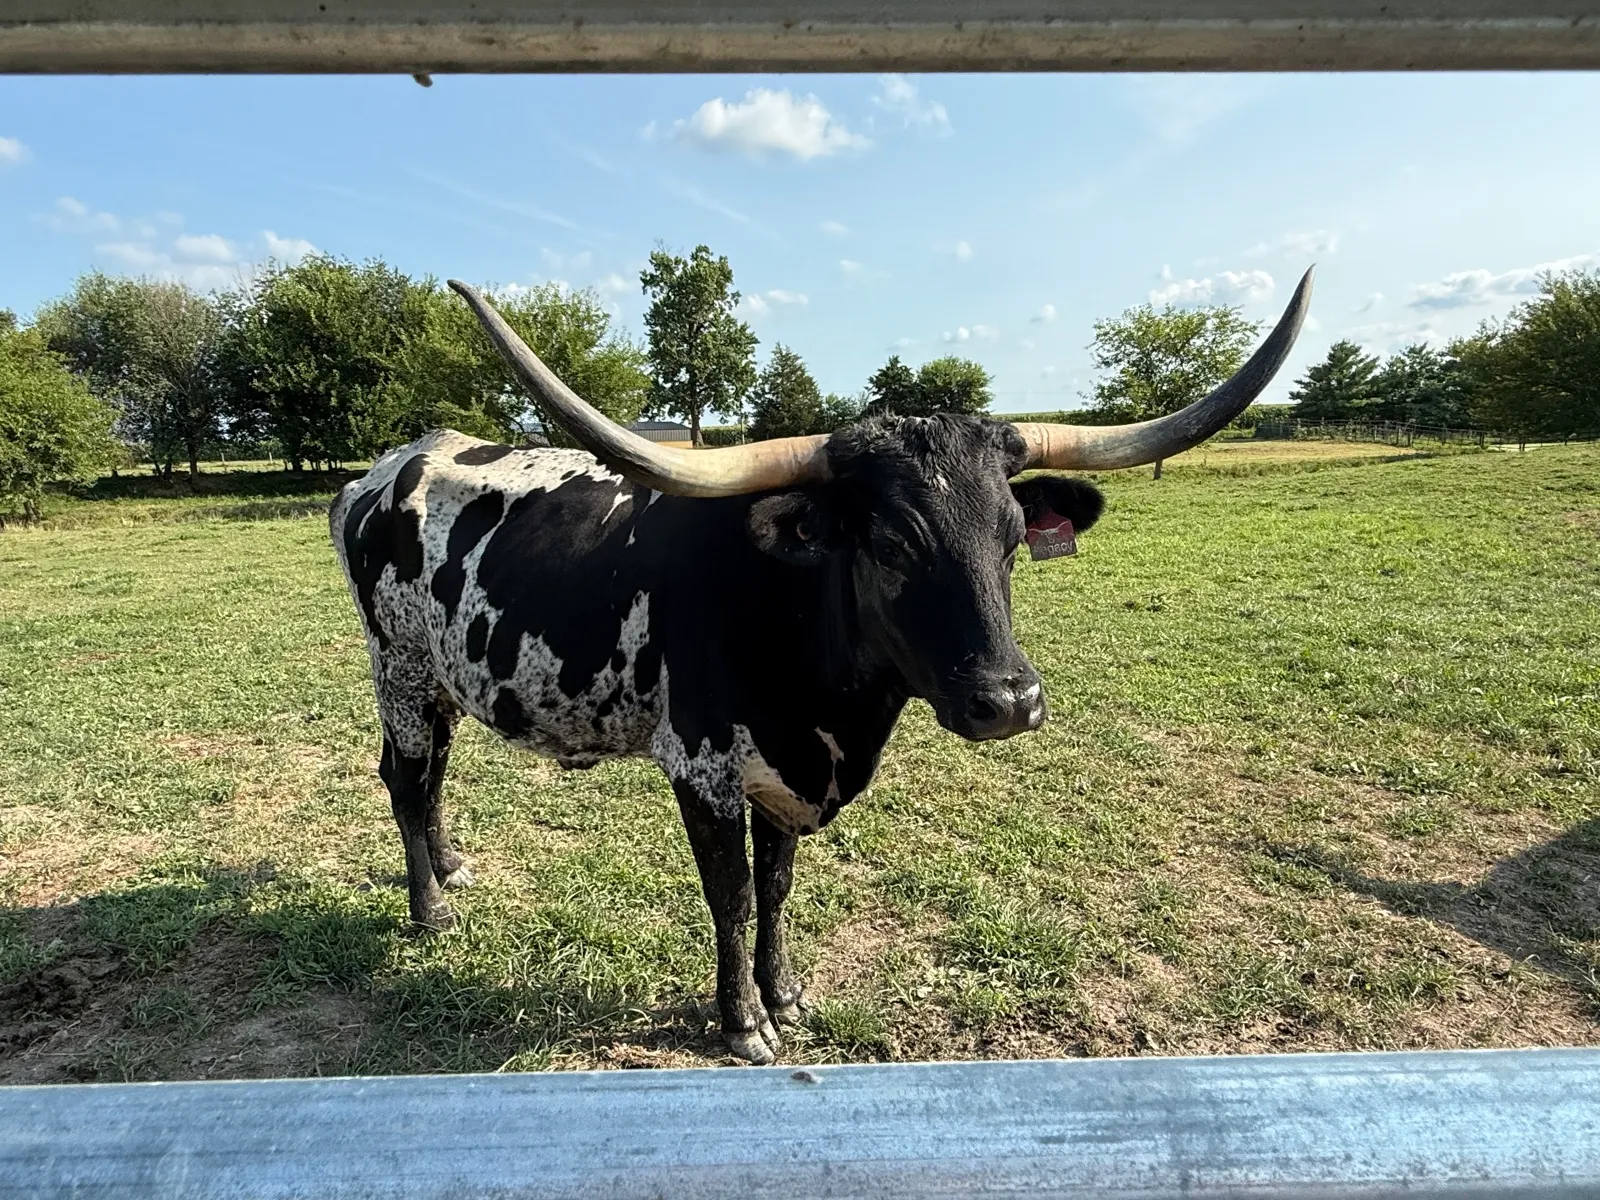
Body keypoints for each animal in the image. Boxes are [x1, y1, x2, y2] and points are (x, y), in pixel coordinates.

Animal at [330, 269, 1313, 1063]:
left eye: (1010, 540)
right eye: (890, 543)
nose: (1010, 700)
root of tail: (386, 469)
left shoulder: (785, 771)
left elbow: (777, 886)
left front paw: (787, 995)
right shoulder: (703, 766)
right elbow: (731, 894)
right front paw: (742, 1024)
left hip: (442, 677)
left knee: (434, 771)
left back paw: (451, 868)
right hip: (398, 669)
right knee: (405, 778)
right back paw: (430, 909)